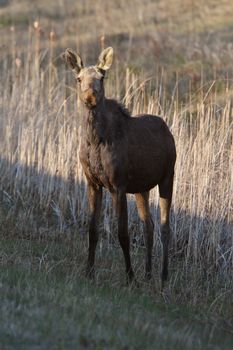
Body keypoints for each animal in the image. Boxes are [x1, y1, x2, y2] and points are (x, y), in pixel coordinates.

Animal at [64, 46, 177, 286]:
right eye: (79, 78)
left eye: (102, 77)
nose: (90, 97)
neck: (95, 141)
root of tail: (168, 131)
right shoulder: (93, 183)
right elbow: (92, 230)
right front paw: (89, 271)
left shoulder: (119, 184)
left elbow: (122, 233)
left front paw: (130, 277)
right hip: (142, 188)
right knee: (149, 226)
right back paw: (148, 273)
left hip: (168, 177)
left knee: (165, 227)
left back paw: (163, 278)